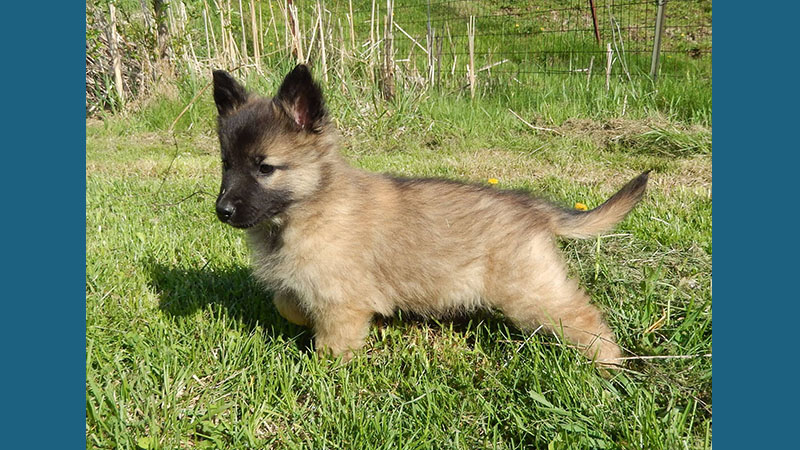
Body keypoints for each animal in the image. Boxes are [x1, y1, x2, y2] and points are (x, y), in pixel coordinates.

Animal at [214, 64, 648, 366]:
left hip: (531, 292)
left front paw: (325, 375)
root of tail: (531, 207)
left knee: (583, 317)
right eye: (226, 164)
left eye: (265, 168)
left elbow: (332, 344)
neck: (311, 205)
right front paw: (301, 319)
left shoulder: (340, 304)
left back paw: (609, 366)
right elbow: (285, 302)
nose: (222, 211)